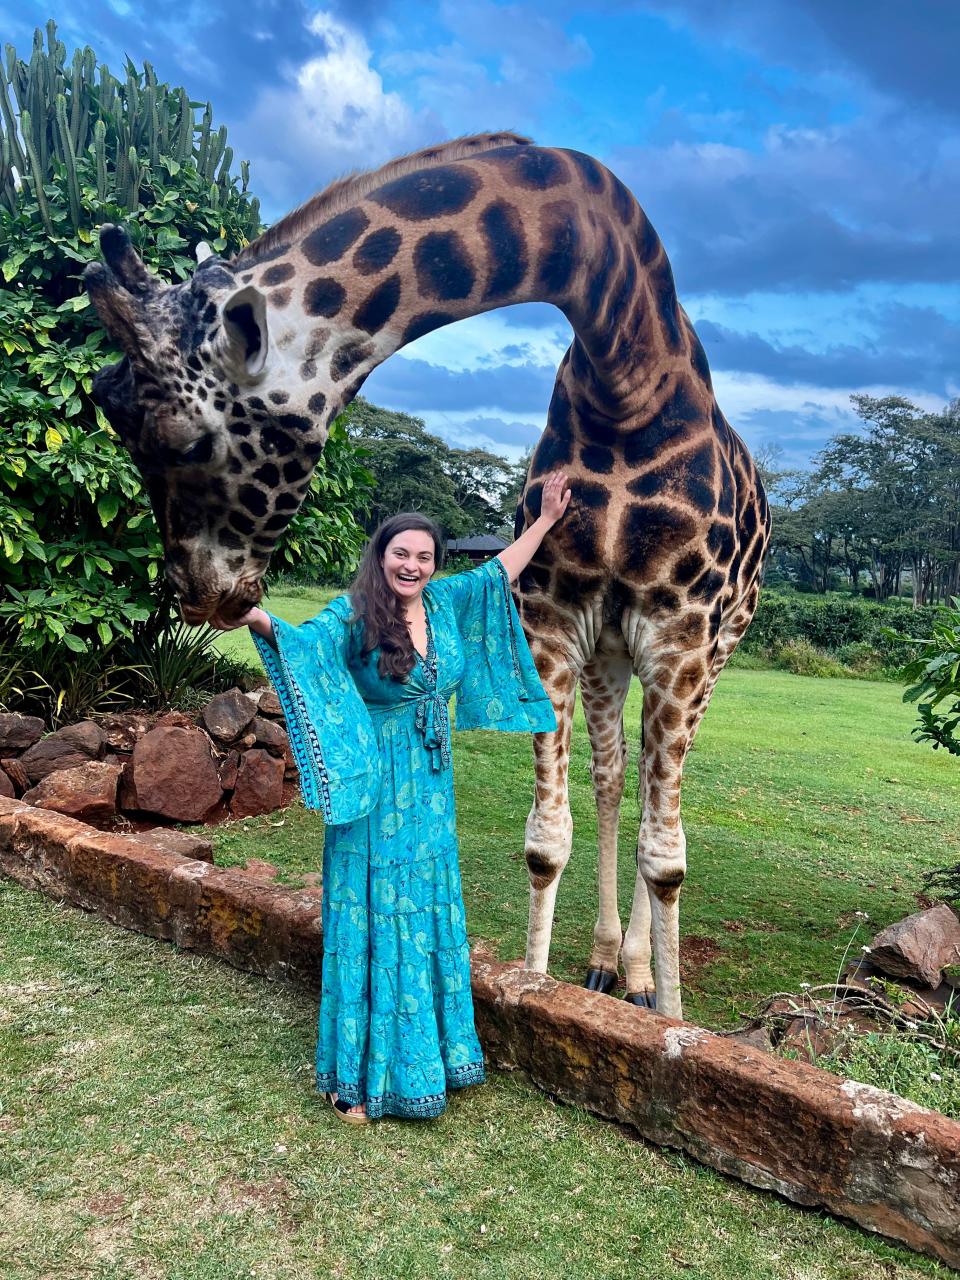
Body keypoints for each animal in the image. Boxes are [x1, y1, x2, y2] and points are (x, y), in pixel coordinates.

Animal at [86, 132, 773, 1018]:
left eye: (182, 438)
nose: (204, 594)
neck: (626, 377)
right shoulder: (553, 624)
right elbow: (547, 841)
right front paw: (538, 990)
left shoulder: (682, 637)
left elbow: (668, 858)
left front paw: (668, 1021)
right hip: (610, 654)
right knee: (611, 779)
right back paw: (607, 963)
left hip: (716, 649)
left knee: (651, 800)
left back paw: (639, 976)